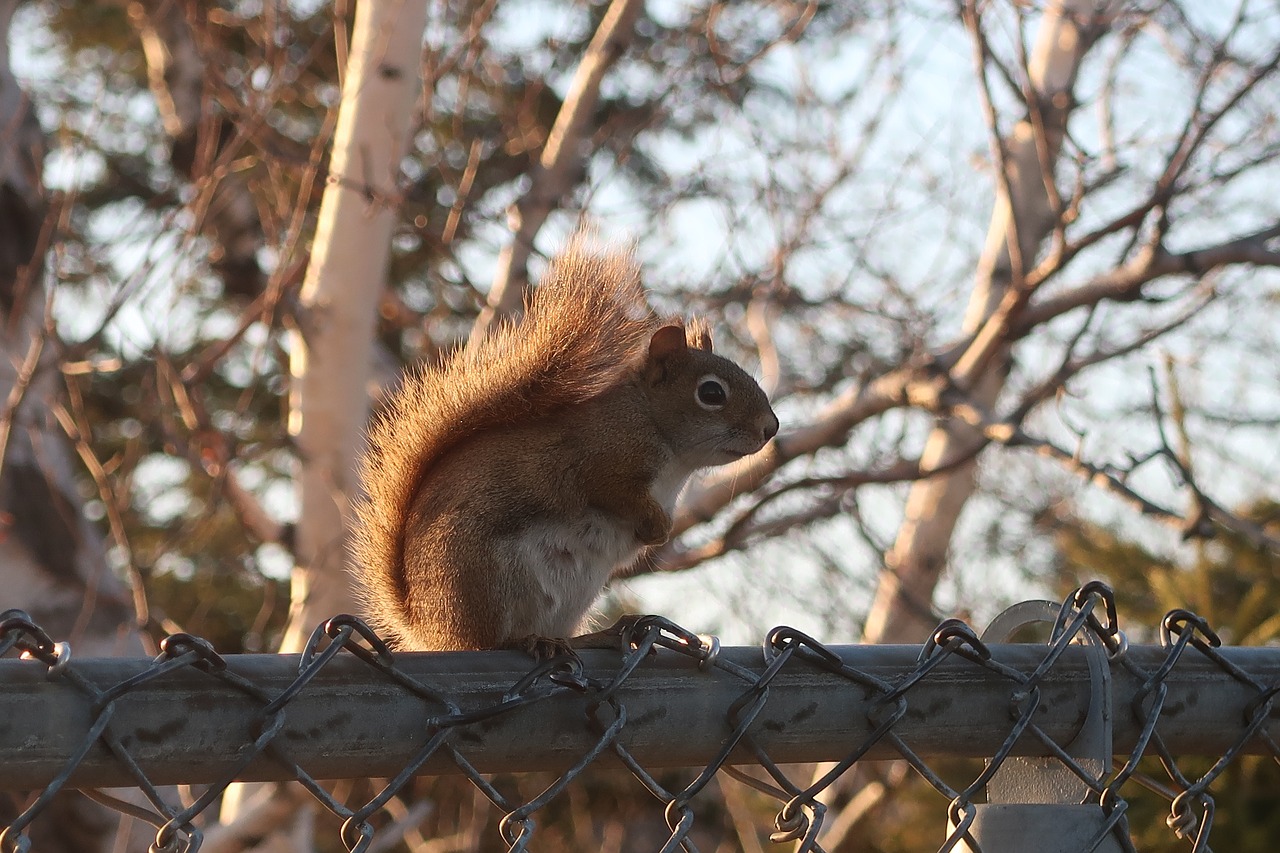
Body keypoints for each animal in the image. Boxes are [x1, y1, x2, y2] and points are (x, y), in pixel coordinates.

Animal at [350, 239, 778, 650]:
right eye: (711, 393)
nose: (771, 427)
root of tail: (427, 627)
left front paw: (657, 532)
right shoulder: (601, 459)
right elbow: (612, 492)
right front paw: (656, 527)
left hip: (572, 597)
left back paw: (599, 636)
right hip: (483, 581)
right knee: (486, 643)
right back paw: (526, 641)